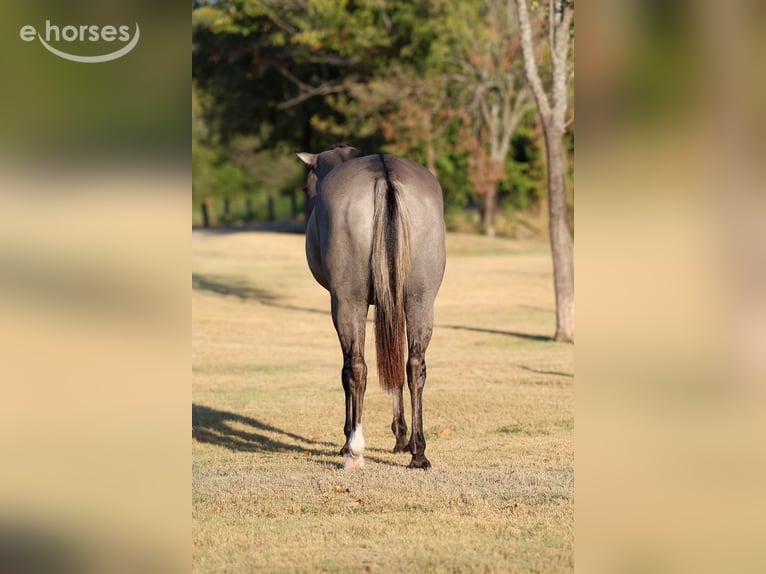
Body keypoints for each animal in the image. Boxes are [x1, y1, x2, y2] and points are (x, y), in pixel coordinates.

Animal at [297, 144, 446, 469]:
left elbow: (351, 369)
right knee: (414, 366)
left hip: (348, 302)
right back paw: (419, 452)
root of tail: (383, 174)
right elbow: (395, 364)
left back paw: (354, 447)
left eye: (305, 187)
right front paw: (402, 437)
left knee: (355, 368)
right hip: (420, 299)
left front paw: (347, 438)